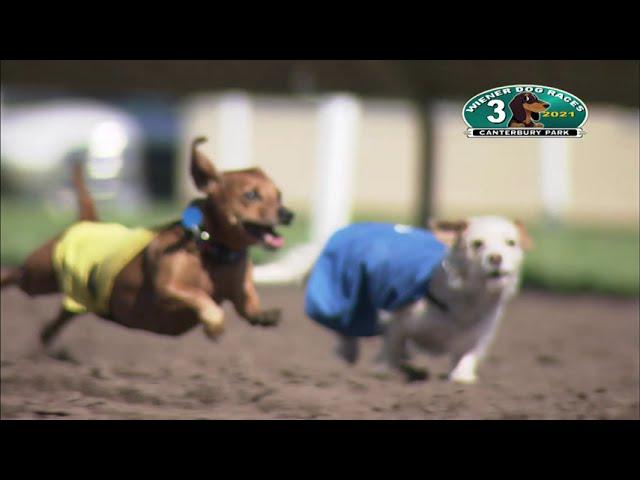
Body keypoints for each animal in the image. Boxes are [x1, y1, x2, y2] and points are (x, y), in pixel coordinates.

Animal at [332, 216, 532, 384]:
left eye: (511, 243)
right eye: (477, 244)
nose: (496, 258)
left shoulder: (476, 335)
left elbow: (468, 355)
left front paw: (462, 377)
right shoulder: (399, 321)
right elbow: (391, 346)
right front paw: (384, 370)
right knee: (347, 331)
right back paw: (347, 355)